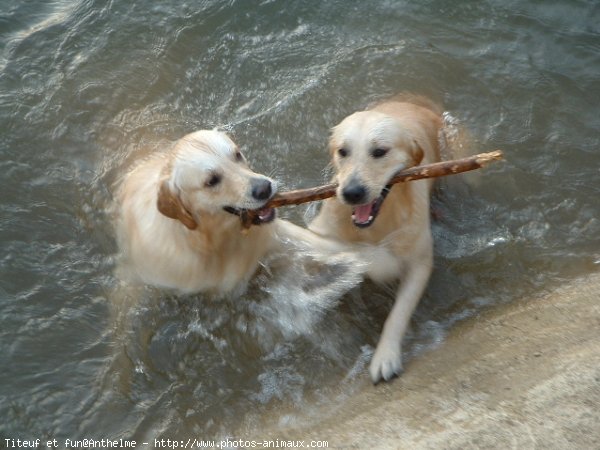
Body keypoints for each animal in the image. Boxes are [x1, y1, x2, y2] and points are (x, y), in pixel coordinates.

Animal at [116, 128, 394, 296]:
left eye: (237, 154)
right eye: (212, 180)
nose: (264, 188)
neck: (211, 242)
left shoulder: (275, 236)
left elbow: (326, 245)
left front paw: (379, 260)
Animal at [310, 96, 440, 384]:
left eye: (379, 151)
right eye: (343, 151)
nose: (352, 193)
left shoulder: (419, 262)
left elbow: (398, 314)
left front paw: (385, 357)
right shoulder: (321, 236)